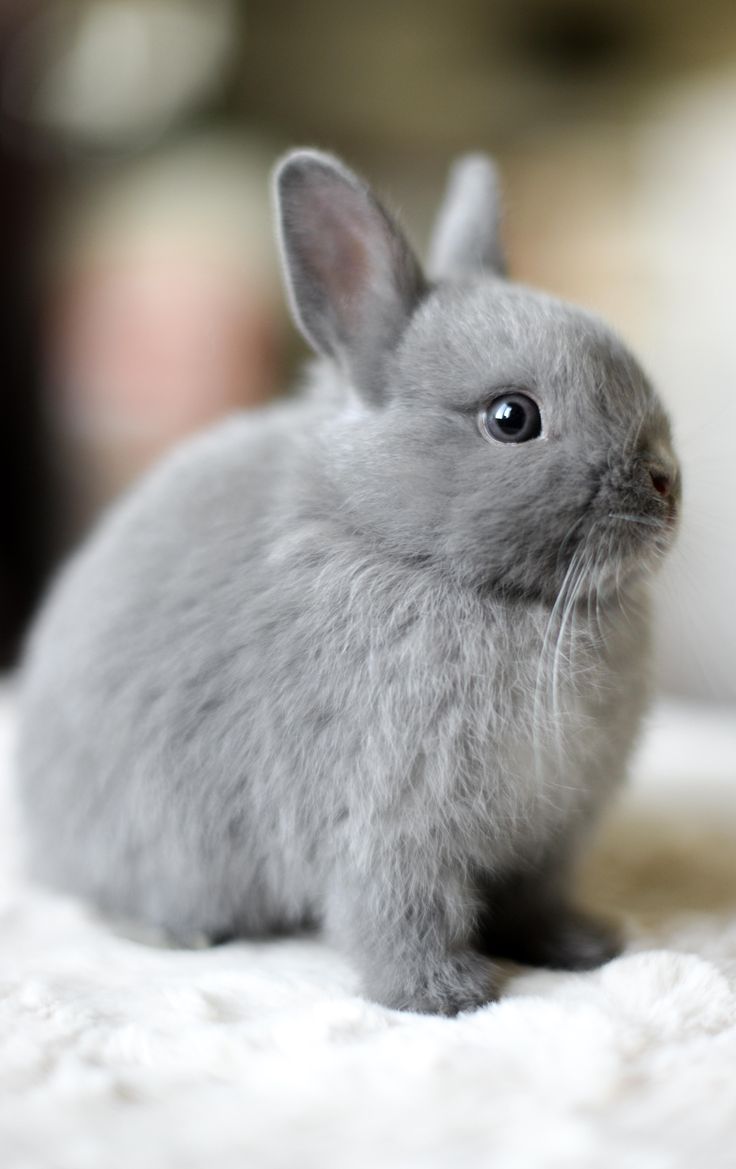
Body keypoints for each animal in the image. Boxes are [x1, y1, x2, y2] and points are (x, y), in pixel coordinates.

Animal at [15, 150, 682, 1014]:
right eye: (512, 417)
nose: (667, 481)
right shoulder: (390, 824)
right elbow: (399, 914)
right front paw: (445, 995)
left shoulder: (548, 839)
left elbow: (537, 904)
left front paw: (586, 948)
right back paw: (176, 932)